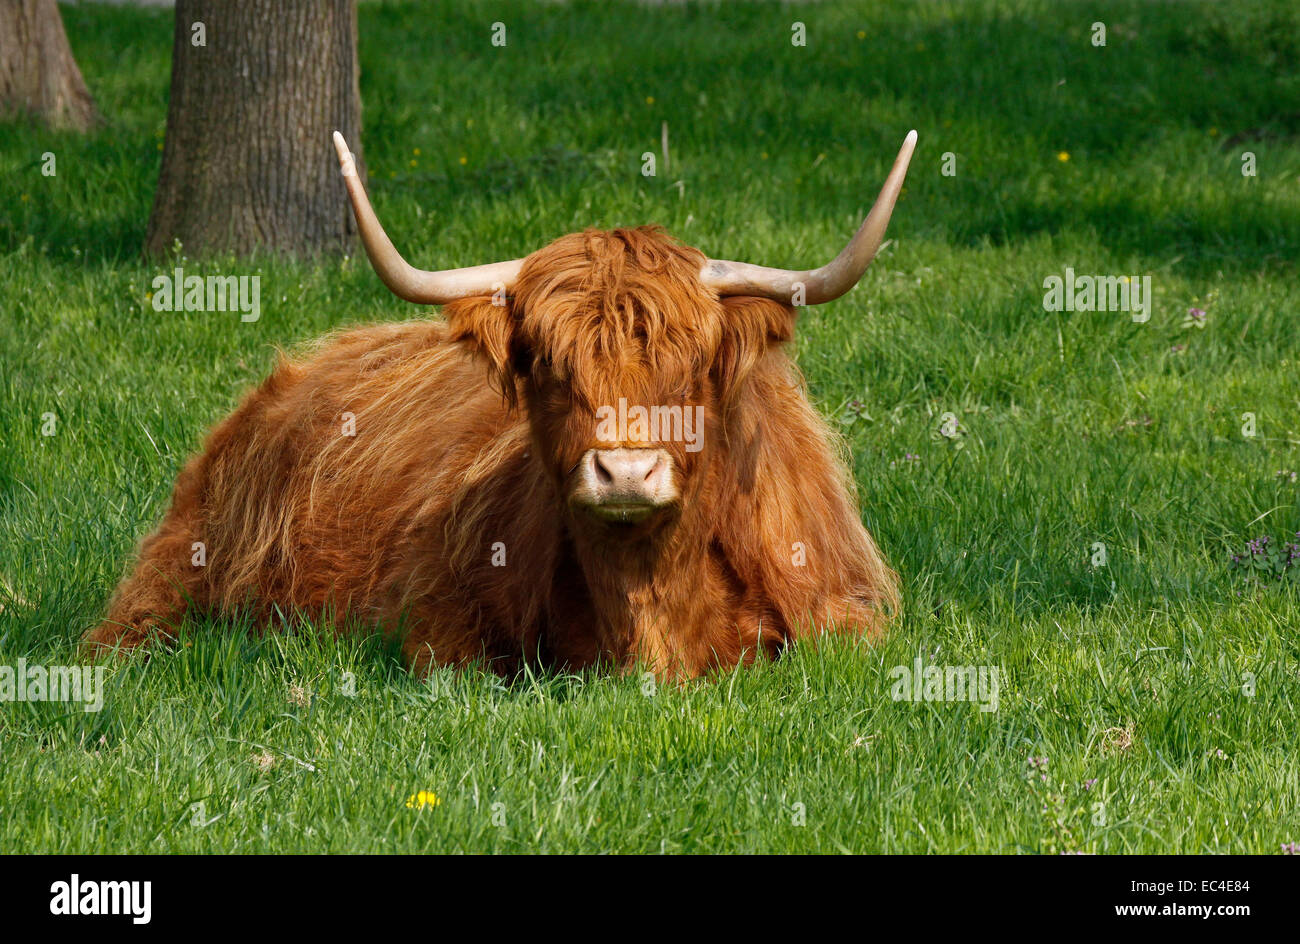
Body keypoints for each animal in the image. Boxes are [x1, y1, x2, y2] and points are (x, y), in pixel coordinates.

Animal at [83, 131, 915, 681]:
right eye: (547, 365)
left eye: (692, 369)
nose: (624, 475)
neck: (650, 605)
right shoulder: (435, 611)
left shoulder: (846, 610)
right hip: (182, 561)